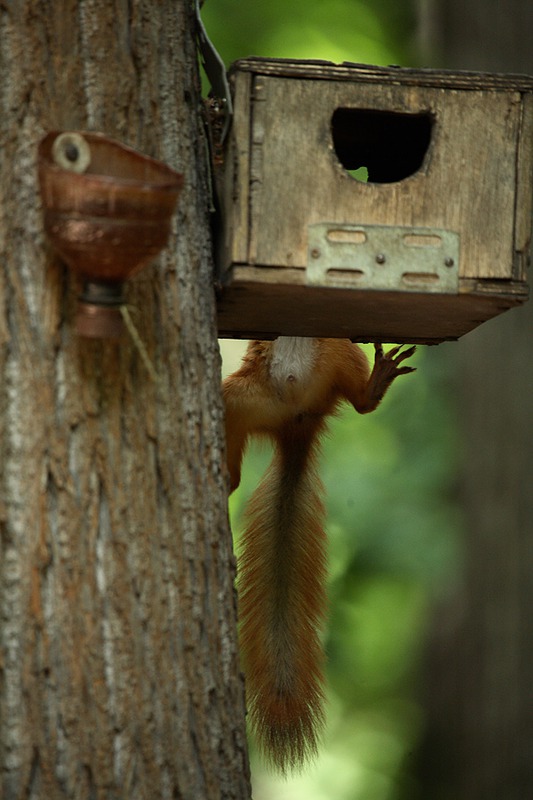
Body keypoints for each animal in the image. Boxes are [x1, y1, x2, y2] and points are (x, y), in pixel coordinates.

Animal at [220, 336, 416, 768]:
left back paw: (376, 383)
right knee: (234, 471)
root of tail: (298, 425)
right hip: (240, 400)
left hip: (337, 355)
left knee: (360, 403)